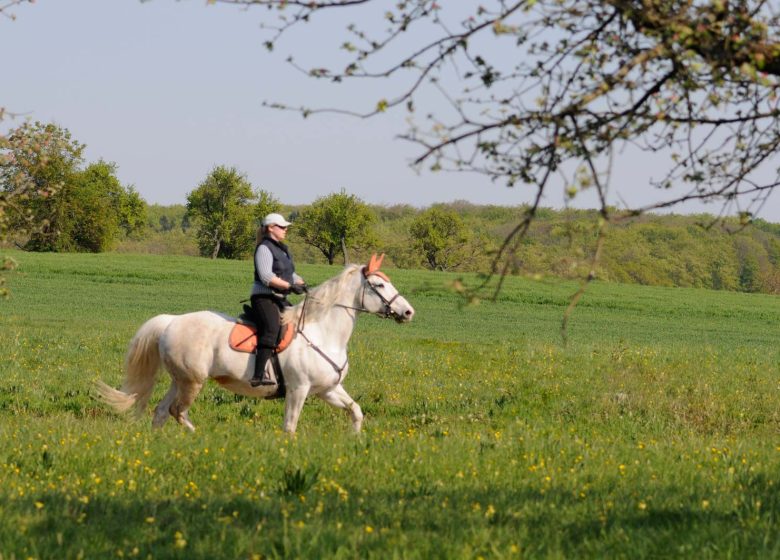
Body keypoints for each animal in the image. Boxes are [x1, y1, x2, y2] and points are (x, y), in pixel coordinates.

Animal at [96, 256, 414, 436]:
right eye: (379, 286)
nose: (408, 312)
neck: (322, 332)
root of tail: (170, 322)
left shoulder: (328, 389)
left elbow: (356, 411)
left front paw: (355, 441)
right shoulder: (299, 389)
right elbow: (290, 426)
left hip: (180, 379)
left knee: (162, 412)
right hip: (192, 382)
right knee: (177, 411)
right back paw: (198, 437)